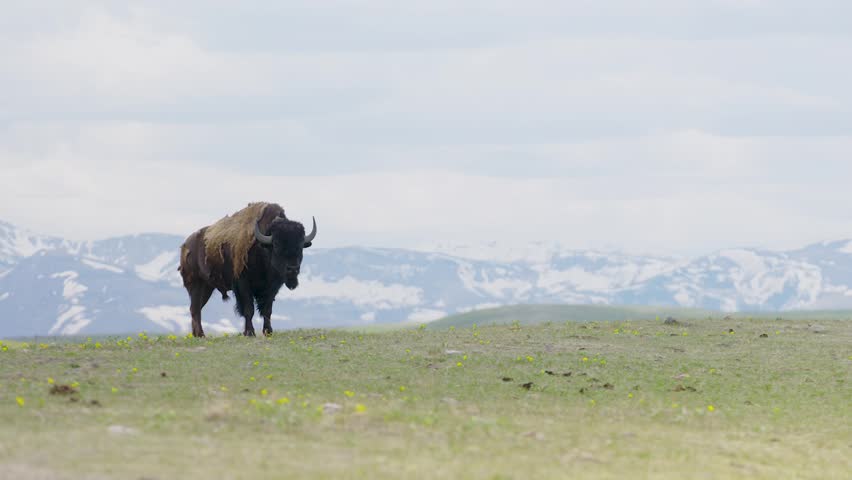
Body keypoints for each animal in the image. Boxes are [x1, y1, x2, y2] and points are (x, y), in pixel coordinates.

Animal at [178, 202, 316, 337]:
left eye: (301, 245)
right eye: (276, 244)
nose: (292, 269)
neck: (262, 249)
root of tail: (185, 245)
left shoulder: (272, 288)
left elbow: (267, 310)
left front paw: (268, 331)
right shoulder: (243, 285)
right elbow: (248, 309)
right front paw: (249, 332)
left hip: (207, 287)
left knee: (196, 308)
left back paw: (197, 335)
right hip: (196, 285)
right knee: (195, 309)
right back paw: (201, 334)